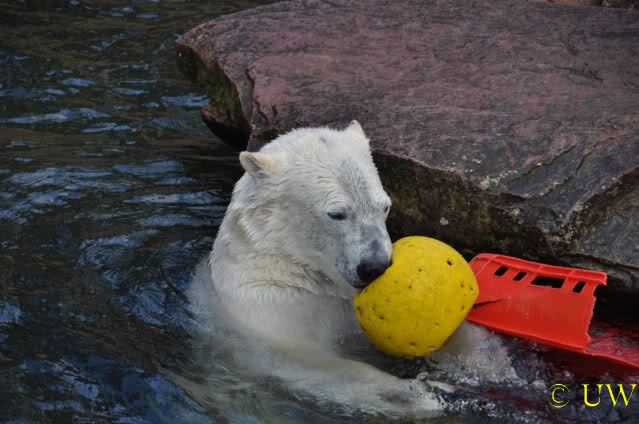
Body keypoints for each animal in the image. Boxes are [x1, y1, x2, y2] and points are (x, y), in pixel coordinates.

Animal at [188, 121, 516, 418]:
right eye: (336, 214)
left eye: (384, 205)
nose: (374, 266)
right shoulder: (266, 309)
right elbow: (307, 362)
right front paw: (416, 393)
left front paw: (487, 362)